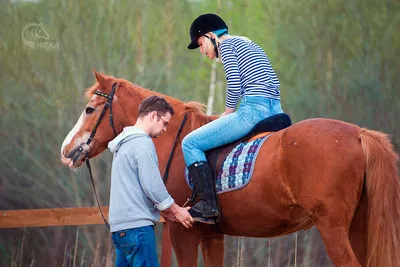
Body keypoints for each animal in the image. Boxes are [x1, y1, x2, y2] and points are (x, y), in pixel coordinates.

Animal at [60, 69, 400, 267]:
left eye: (89, 109)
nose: (66, 150)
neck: (174, 141)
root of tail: (360, 134)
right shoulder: (213, 237)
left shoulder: (183, 233)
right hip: (359, 227)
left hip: (334, 228)